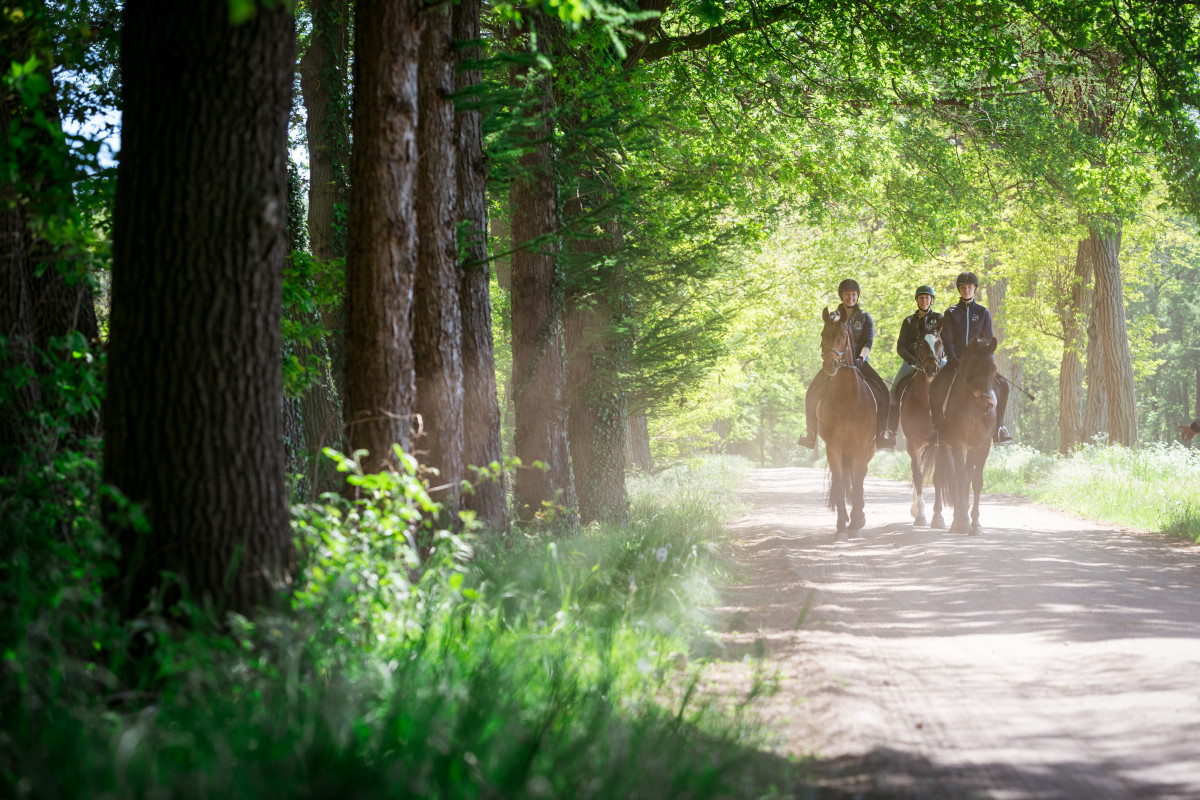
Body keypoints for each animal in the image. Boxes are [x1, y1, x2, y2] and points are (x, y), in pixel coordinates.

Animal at [811, 307, 878, 537]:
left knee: (861, 477)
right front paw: (842, 524)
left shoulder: (860, 447)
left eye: (843, 335)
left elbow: (857, 483)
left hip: (867, 449)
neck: (847, 397)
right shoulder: (833, 446)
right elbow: (840, 484)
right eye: (823, 334)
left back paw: (860, 516)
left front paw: (856, 523)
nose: (830, 365)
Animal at [926, 338, 1003, 537]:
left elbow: (975, 481)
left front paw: (975, 524)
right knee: (947, 478)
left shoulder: (983, 445)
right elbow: (960, 477)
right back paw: (949, 520)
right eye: (973, 366)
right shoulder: (957, 443)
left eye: (994, 369)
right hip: (944, 445)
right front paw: (962, 522)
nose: (986, 404)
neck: (973, 407)